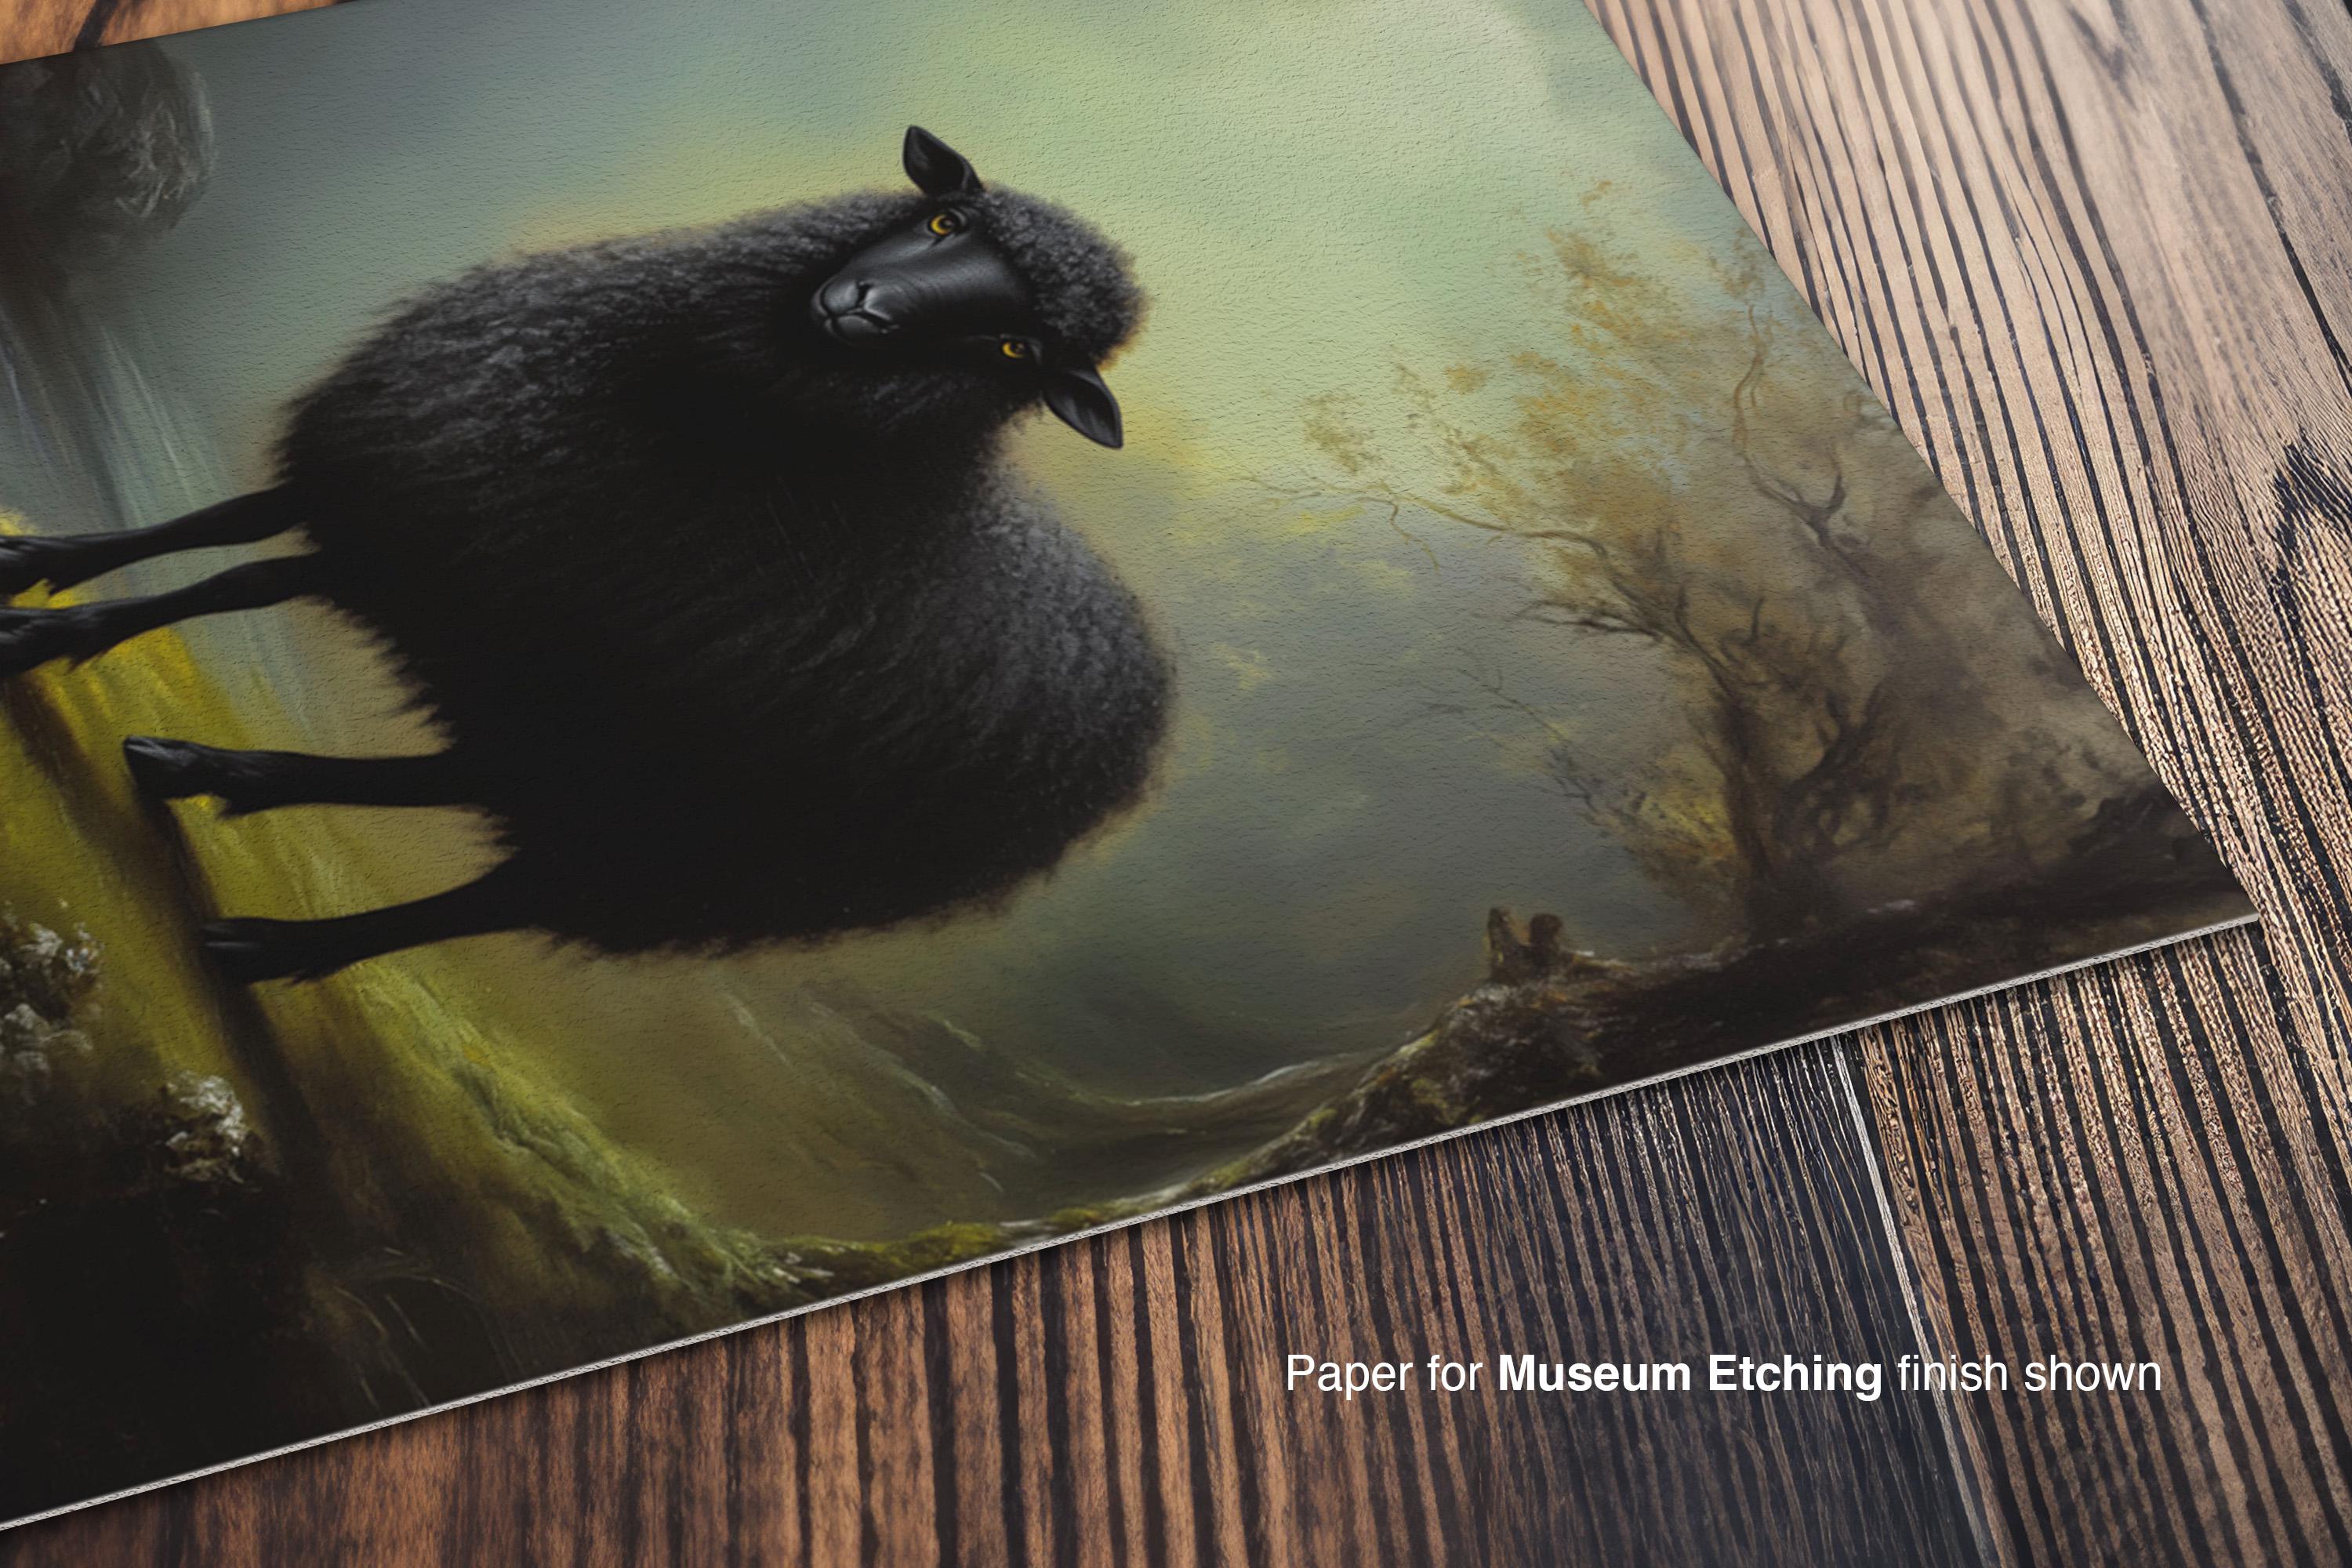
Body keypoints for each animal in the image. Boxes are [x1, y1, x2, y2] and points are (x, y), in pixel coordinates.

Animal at [0, 127, 1171, 984]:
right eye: (945, 216)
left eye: (1015, 350)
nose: (863, 308)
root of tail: (1146, 697)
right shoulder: (407, 478)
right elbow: (218, 532)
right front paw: (45, 572)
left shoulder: (460, 559)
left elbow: (234, 576)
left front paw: (53, 635)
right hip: (597, 732)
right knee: (457, 774)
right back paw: (212, 771)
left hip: (712, 845)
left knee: (492, 897)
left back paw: (278, 945)